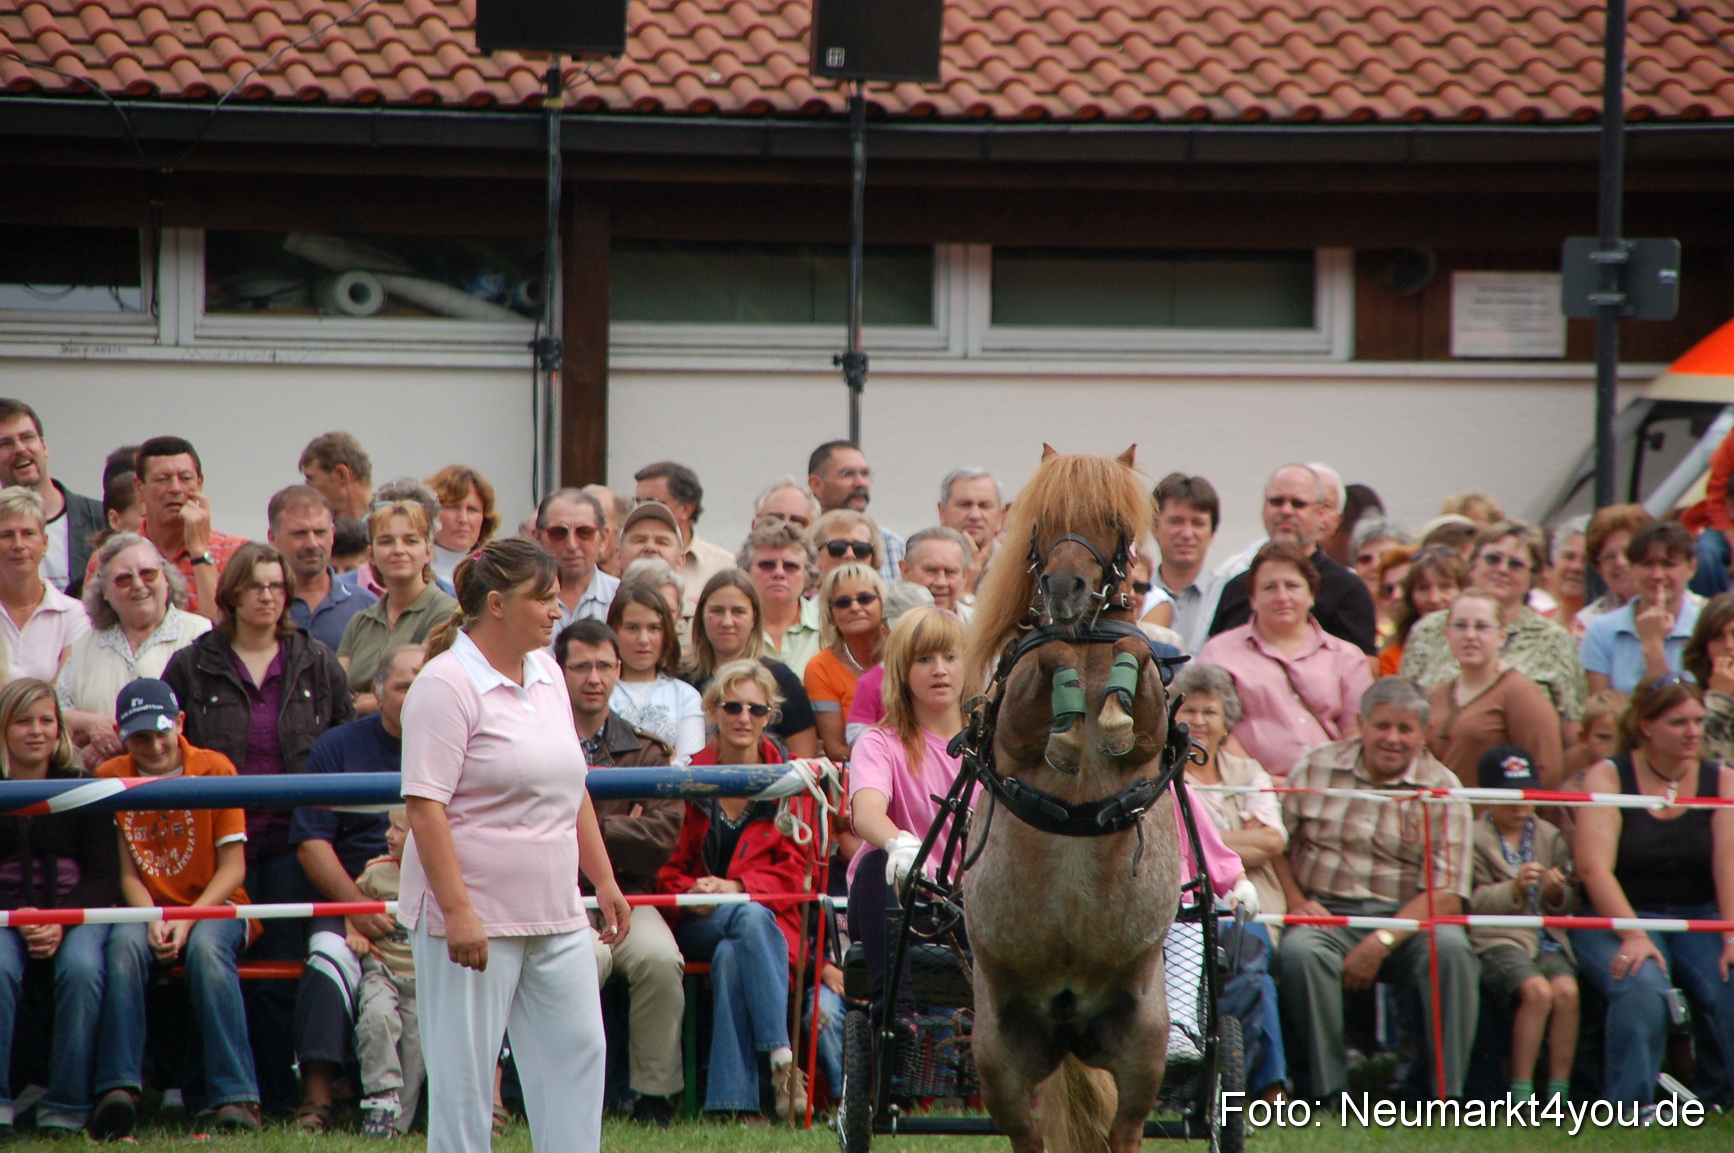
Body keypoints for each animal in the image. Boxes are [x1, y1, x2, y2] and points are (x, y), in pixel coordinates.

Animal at [960, 445, 1183, 1153]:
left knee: (1125, 1130)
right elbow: (1047, 655)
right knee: (1027, 1135)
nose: (1064, 589)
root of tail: (1067, 1013)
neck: (1088, 648)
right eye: (1045, 518)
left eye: (1111, 519)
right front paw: (1069, 726)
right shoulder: (1012, 731)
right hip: (999, 1055)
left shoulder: (1151, 737)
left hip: (1143, 1043)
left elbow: (1135, 653)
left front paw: (1107, 716)